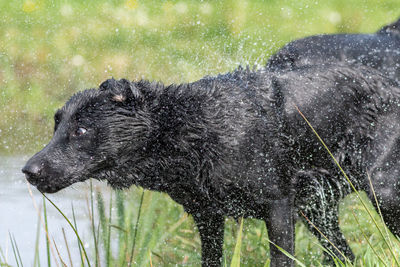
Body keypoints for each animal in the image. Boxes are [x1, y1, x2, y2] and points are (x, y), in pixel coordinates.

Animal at [23, 63, 400, 266]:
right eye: (56, 127)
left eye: (81, 130)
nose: (29, 170)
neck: (192, 128)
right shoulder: (207, 216)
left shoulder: (278, 206)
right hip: (316, 210)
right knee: (344, 253)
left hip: (380, 192)